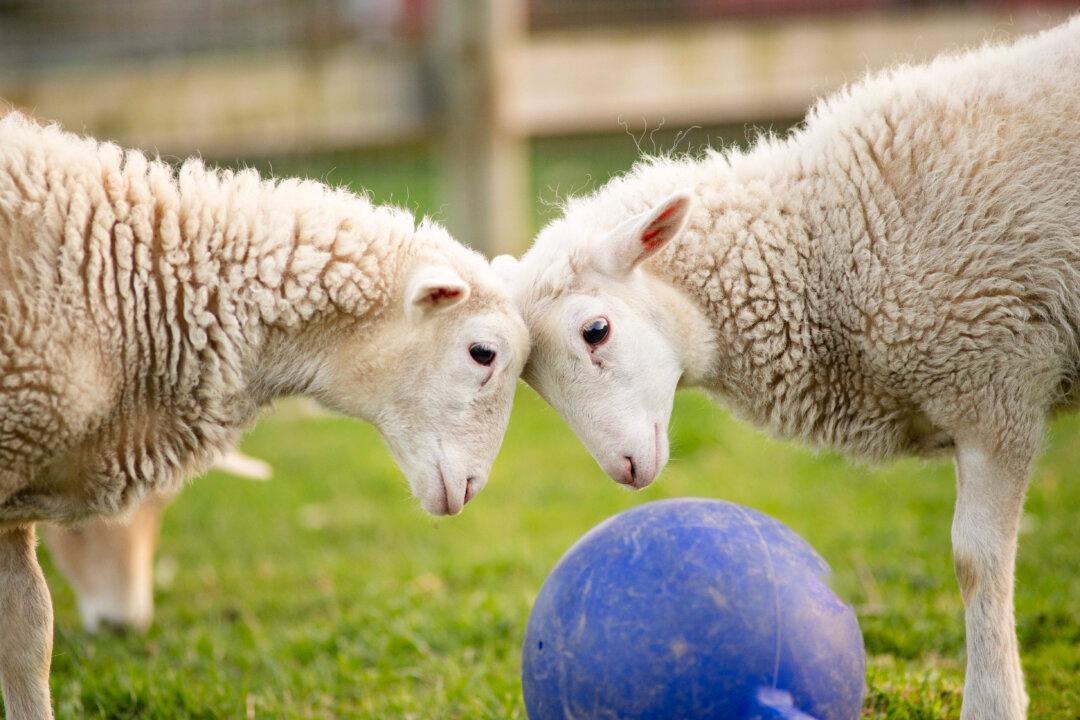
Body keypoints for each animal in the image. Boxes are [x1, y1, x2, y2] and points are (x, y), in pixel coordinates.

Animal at [497, 18, 1080, 720]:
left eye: (595, 331)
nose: (625, 470)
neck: (832, 241)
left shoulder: (997, 387)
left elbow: (976, 559)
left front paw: (993, 701)